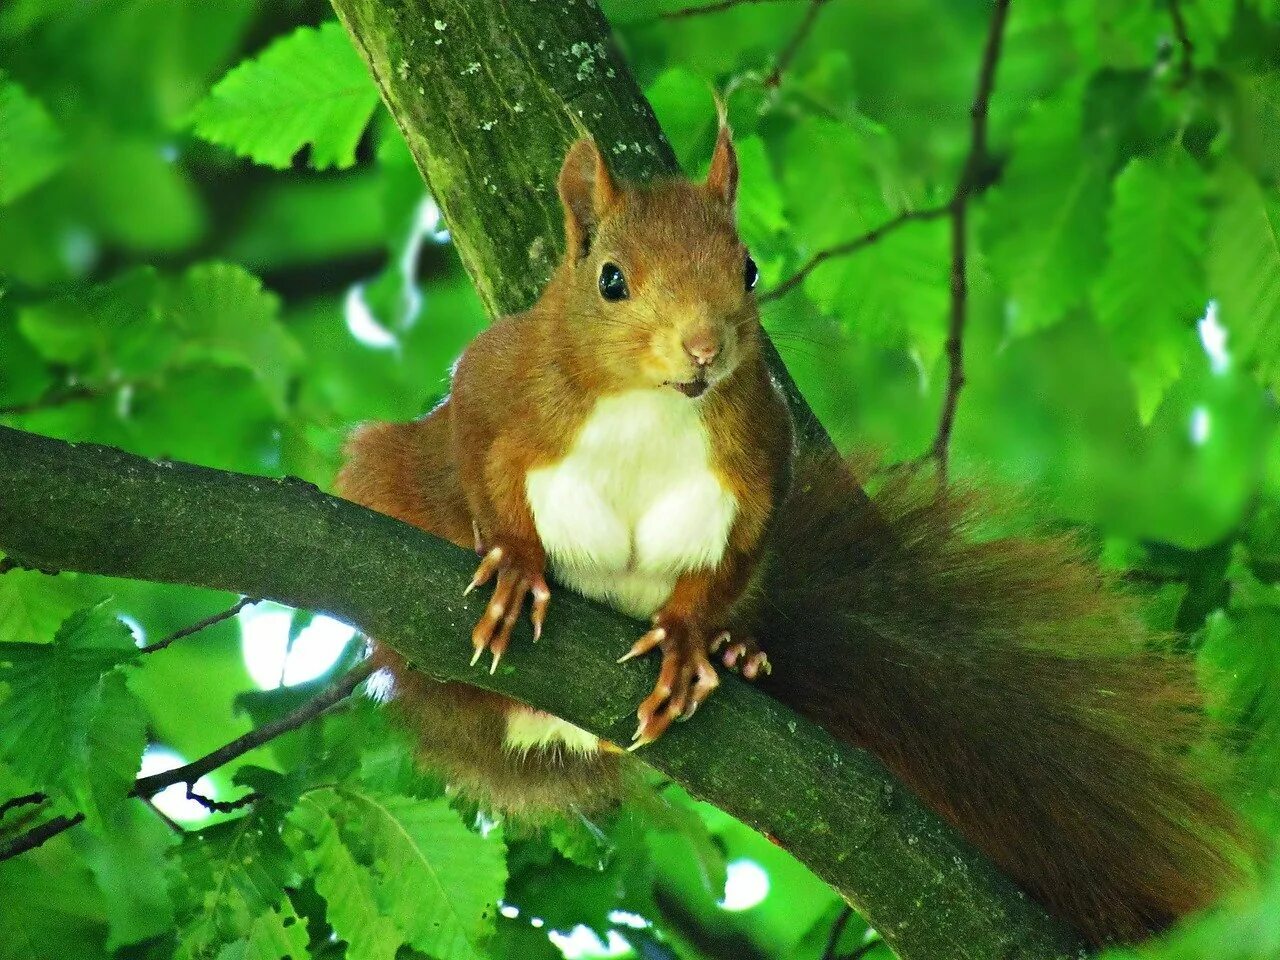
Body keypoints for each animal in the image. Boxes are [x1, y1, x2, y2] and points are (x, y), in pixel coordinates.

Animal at [337, 126, 1249, 947]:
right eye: (611, 280)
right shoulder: (494, 382)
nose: (705, 347)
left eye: (747, 268)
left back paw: (740, 652)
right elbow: (476, 458)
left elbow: (732, 558)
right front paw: (518, 567)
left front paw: (689, 639)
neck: (651, 408)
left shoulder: (760, 462)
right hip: (383, 482)